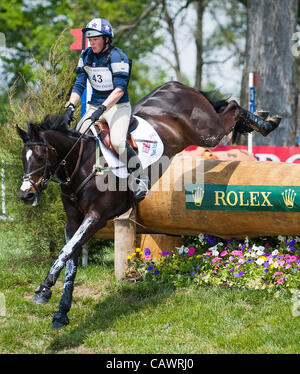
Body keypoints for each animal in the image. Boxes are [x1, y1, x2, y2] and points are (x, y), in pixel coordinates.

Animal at [16, 80, 280, 328]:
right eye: (22, 158)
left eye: (40, 156)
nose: (26, 195)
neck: (81, 164)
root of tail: (176, 85)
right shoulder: (73, 222)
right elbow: (70, 258)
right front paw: (60, 311)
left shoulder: (96, 216)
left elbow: (65, 251)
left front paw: (43, 289)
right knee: (228, 109)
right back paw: (263, 121)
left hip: (207, 132)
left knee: (232, 109)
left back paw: (267, 122)